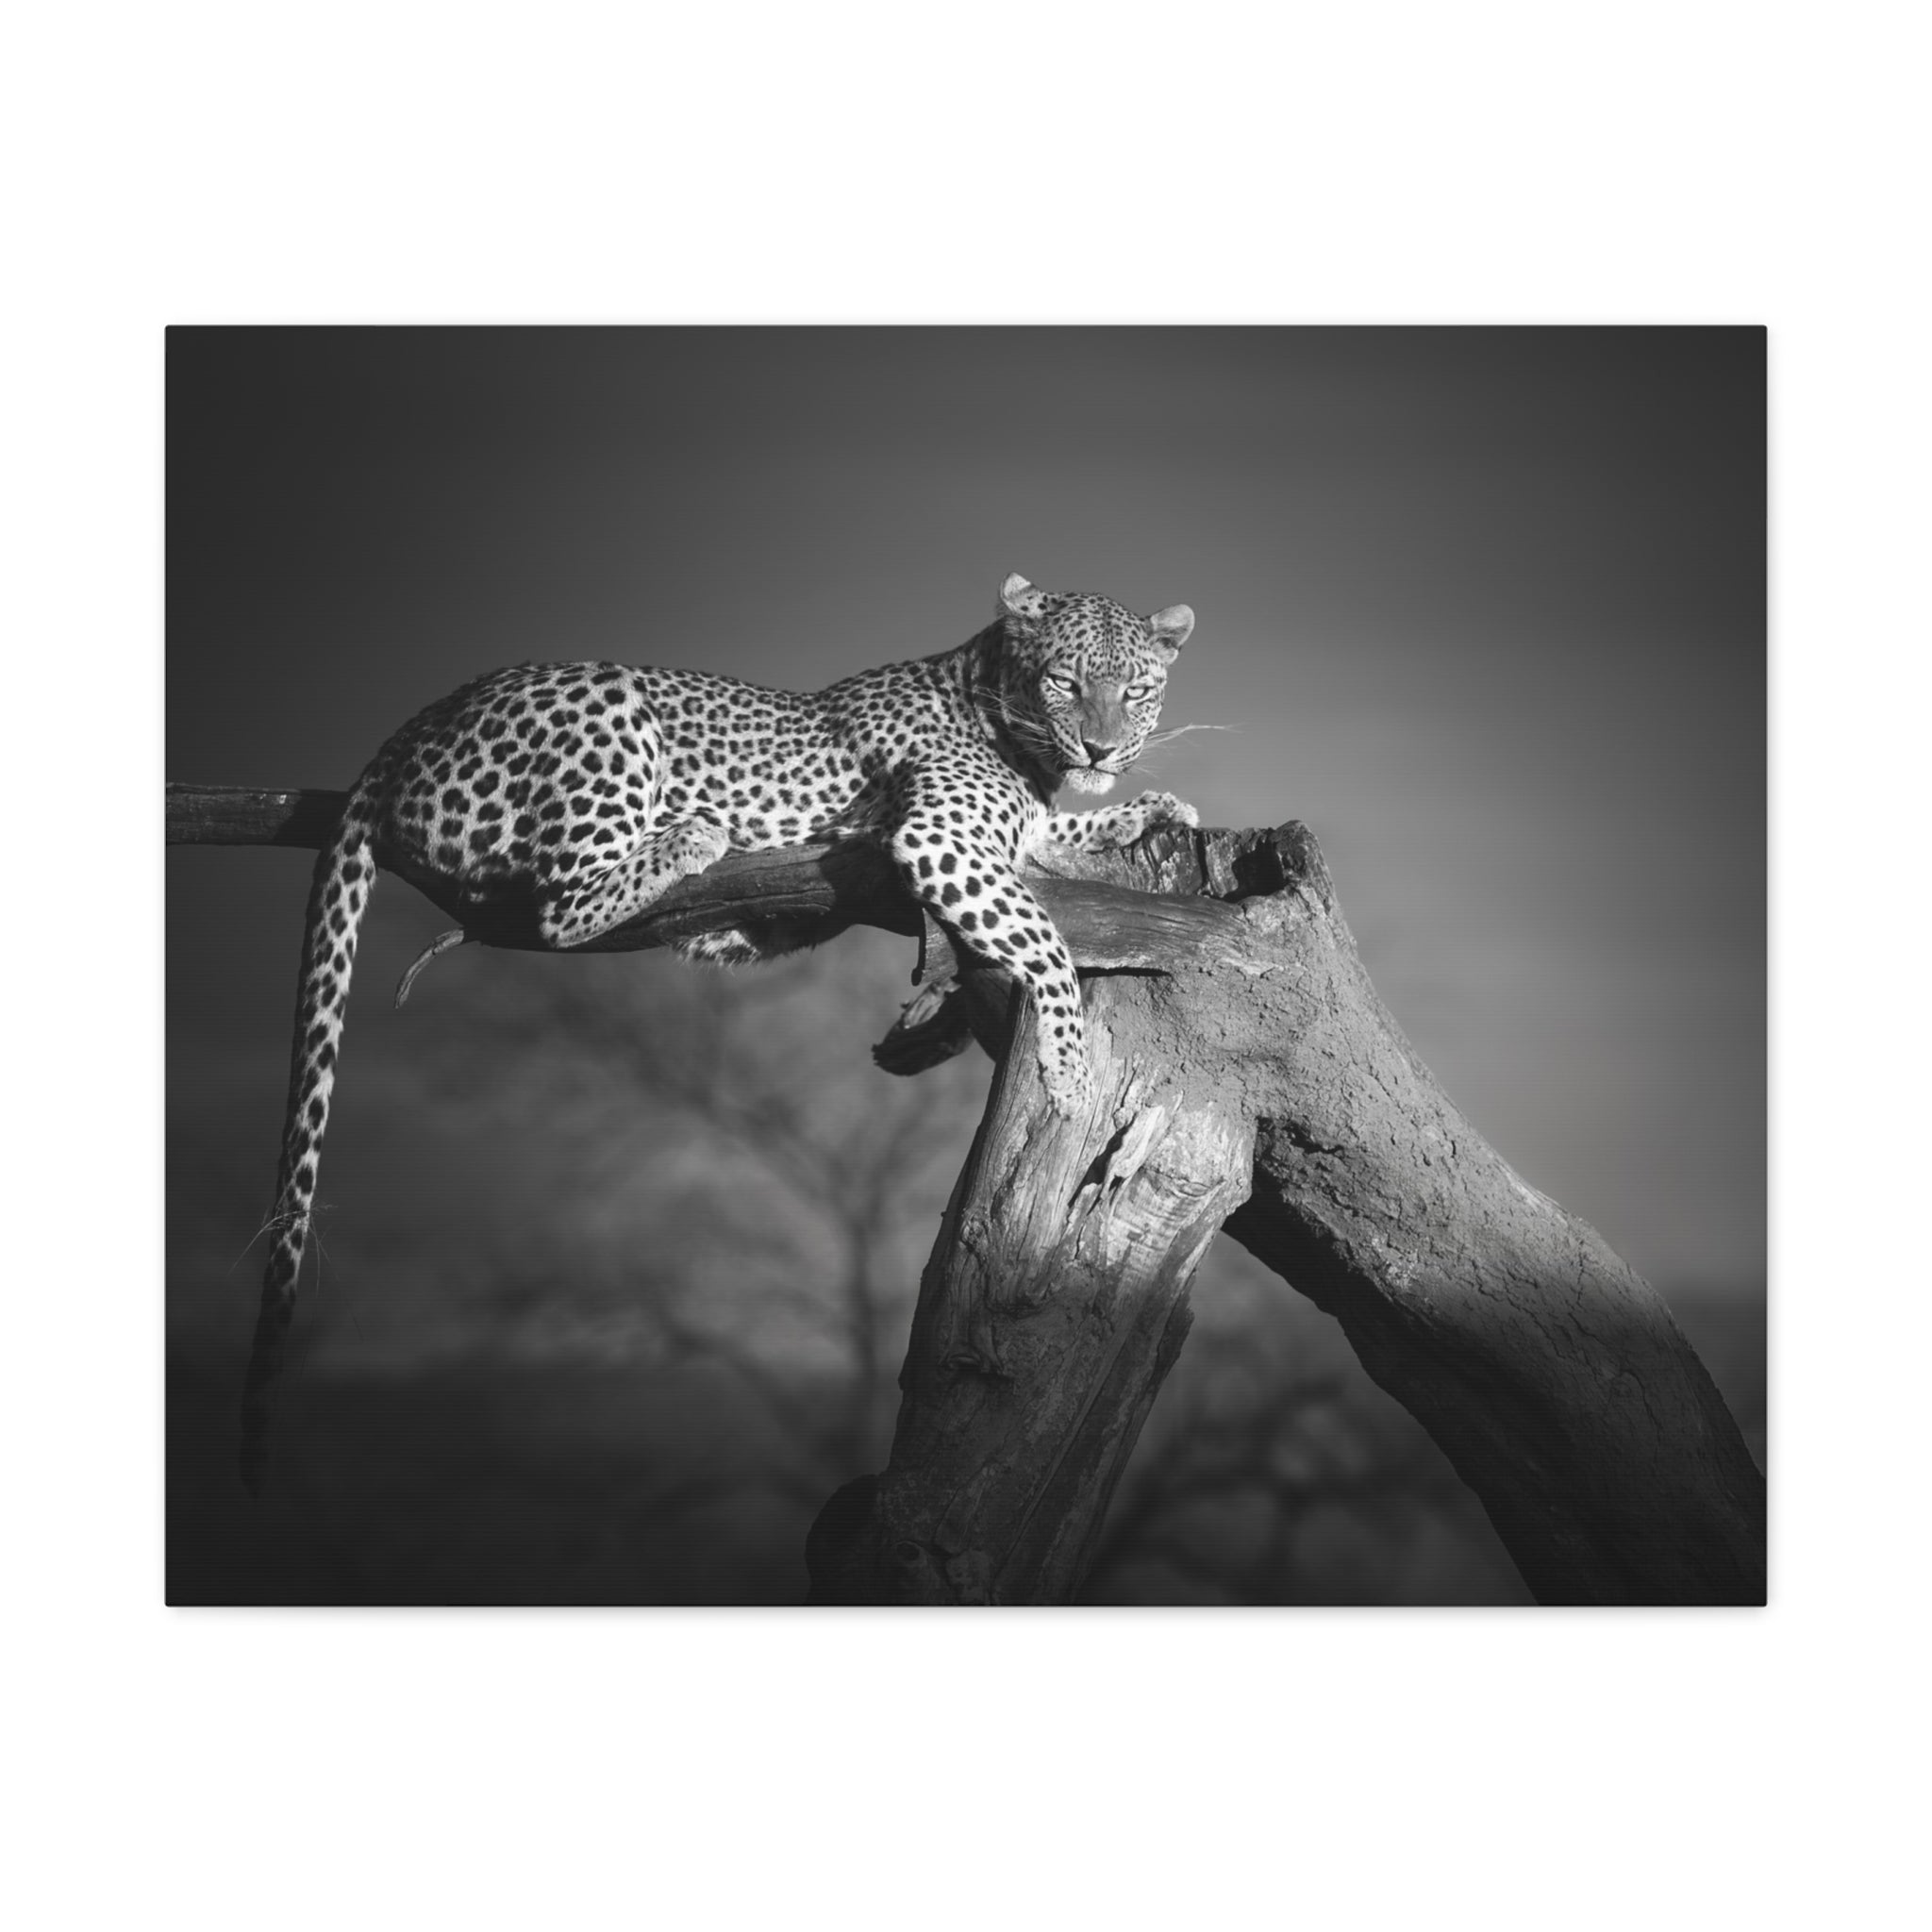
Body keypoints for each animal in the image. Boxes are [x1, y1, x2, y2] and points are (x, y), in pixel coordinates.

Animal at [239, 572, 1197, 1489]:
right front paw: (1069, 1070)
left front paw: (1147, 811)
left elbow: (1054, 844)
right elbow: (1047, 938)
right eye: (1066, 682)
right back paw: (692, 835)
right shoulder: (941, 837)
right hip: (608, 711)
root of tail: (415, 724)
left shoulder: (1006, 836)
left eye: (1137, 690)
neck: (1009, 720)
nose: (1103, 749)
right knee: (558, 906)